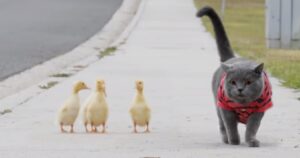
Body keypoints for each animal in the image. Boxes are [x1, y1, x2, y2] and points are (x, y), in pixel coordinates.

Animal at [197, 6, 272, 147]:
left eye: (248, 82)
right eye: (233, 82)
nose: (240, 89)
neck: (243, 105)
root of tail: (231, 58)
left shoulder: (259, 111)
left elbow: (252, 127)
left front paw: (251, 141)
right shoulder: (226, 110)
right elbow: (230, 126)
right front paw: (234, 141)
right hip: (217, 105)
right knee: (222, 124)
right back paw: (226, 139)